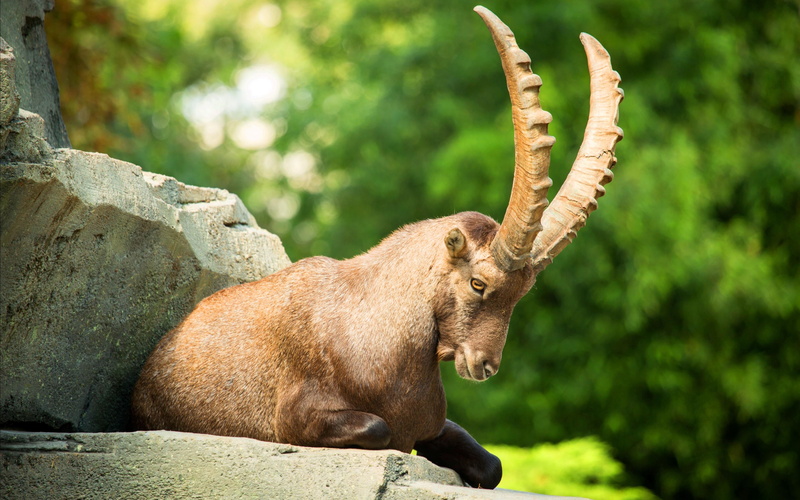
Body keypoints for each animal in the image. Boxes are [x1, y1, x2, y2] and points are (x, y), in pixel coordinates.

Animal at [131, 6, 624, 489]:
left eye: (523, 293)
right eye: (479, 283)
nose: (484, 364)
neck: (379, 330)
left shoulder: (432, 423)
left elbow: (493, 466)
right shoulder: (294, 416)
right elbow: (379, 428)